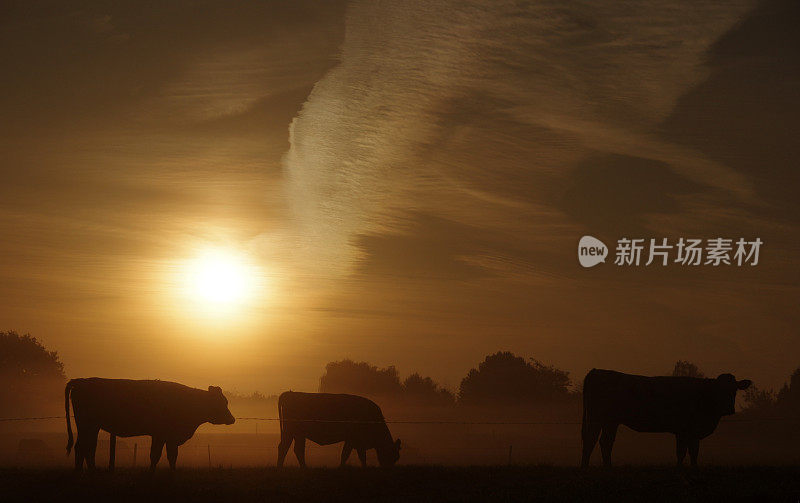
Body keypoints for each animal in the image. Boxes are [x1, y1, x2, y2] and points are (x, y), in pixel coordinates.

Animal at [65, 378, 234, 472]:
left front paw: (172, 471)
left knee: (86, 447)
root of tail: (81, 381)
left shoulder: (170, 438)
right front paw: (153, 472)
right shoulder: (161, 435)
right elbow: (156, 455)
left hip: (90, 427)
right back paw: (83, 471)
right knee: (83, 447)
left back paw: (88, 470)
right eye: (221, 402)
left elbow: (171, 456)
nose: (232, 419)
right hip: (87, 424)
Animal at [580, 366, 752, 468]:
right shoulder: (685, 430)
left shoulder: (690, 432)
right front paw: (683, 469)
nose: (729, 409)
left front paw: (692, 468)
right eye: (719, 390)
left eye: (735, 390)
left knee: (605, 442)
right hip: (598, 419)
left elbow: (691, 451)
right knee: (591, 440)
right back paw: (587, 467)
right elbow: (684, 451)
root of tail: (597, 371)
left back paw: (607, 467)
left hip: (610, 422)